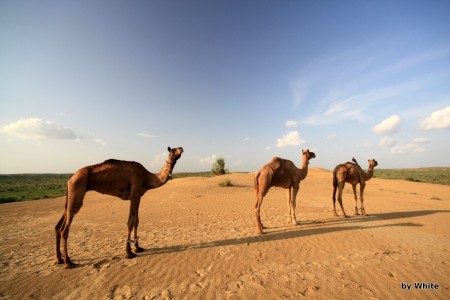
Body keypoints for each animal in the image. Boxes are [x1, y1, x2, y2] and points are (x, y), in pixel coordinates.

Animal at [55, 146, 183, 268]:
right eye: (172, 150)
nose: (181, 148)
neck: (147, 178)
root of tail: (70, 179)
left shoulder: (138, 196)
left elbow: (137, 221)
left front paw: (138, 247)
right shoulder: (134, 195)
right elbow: (130, 222)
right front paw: (129, 253)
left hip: (70, 196)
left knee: (58, 226)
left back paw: (59, 259)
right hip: (76, 191)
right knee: (65, 230)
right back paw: (68, 263)